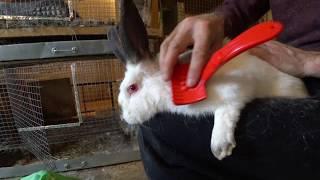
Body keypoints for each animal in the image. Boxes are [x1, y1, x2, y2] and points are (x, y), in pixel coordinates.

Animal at [109, 0, 308, 160]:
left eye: (132, 88)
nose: (125, 117)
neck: (166, 83)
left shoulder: (235, 90)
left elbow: (226, 110)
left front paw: (220, 147)